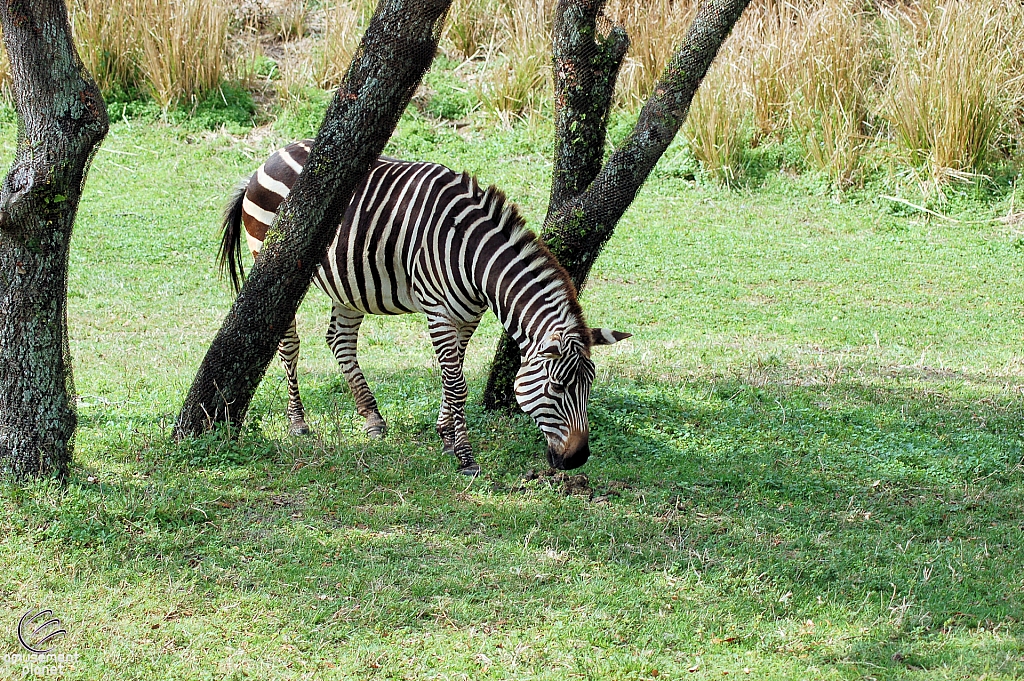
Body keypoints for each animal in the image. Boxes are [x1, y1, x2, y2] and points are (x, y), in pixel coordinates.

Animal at [220, 140, 626, 475]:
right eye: (557, 389)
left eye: (589, 386)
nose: (578, 459)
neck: (472, 254)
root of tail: (270, 157)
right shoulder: (438, 310)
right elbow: (457, 383)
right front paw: (464, 456)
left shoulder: (468, 315)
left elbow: (452, 375)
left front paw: (446, 435)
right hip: (277, 262)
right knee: (289, 344)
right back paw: (298, 422)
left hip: (348, 280)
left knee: (340, 341)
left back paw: (372, 419)